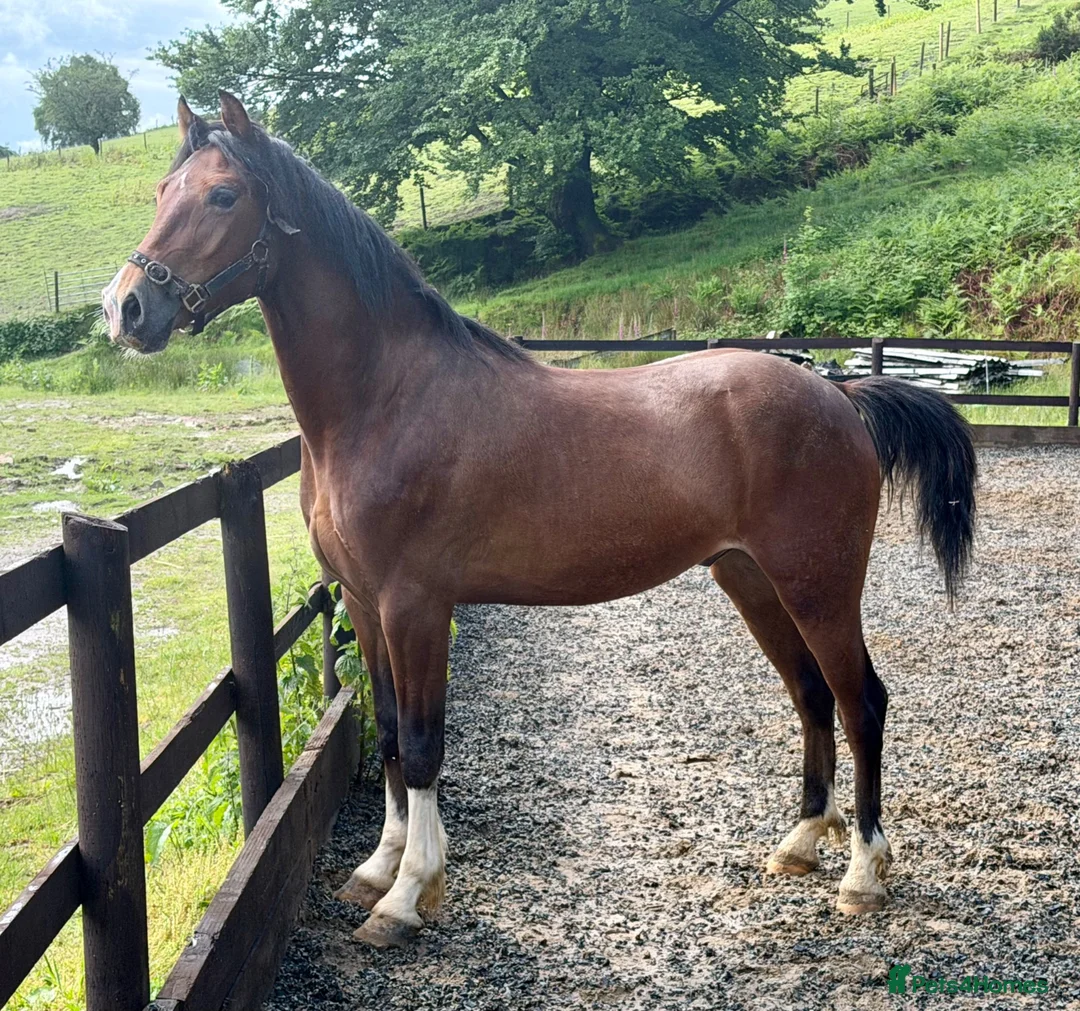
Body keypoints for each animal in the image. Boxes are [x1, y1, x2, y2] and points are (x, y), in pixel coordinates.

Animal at [102, 92, 976, 949]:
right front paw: (380, 866)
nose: (126, 308)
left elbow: (422, 744)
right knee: (811, 696)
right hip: (753, 580)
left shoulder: (416, 604)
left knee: (862, 701)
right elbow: (386, 733)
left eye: (223, 195)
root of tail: (840, 396)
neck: (384, 398)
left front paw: (410, 894)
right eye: (161, 191)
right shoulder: (364, 602)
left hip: (818, 584)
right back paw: (799, 843)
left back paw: (864, 873)